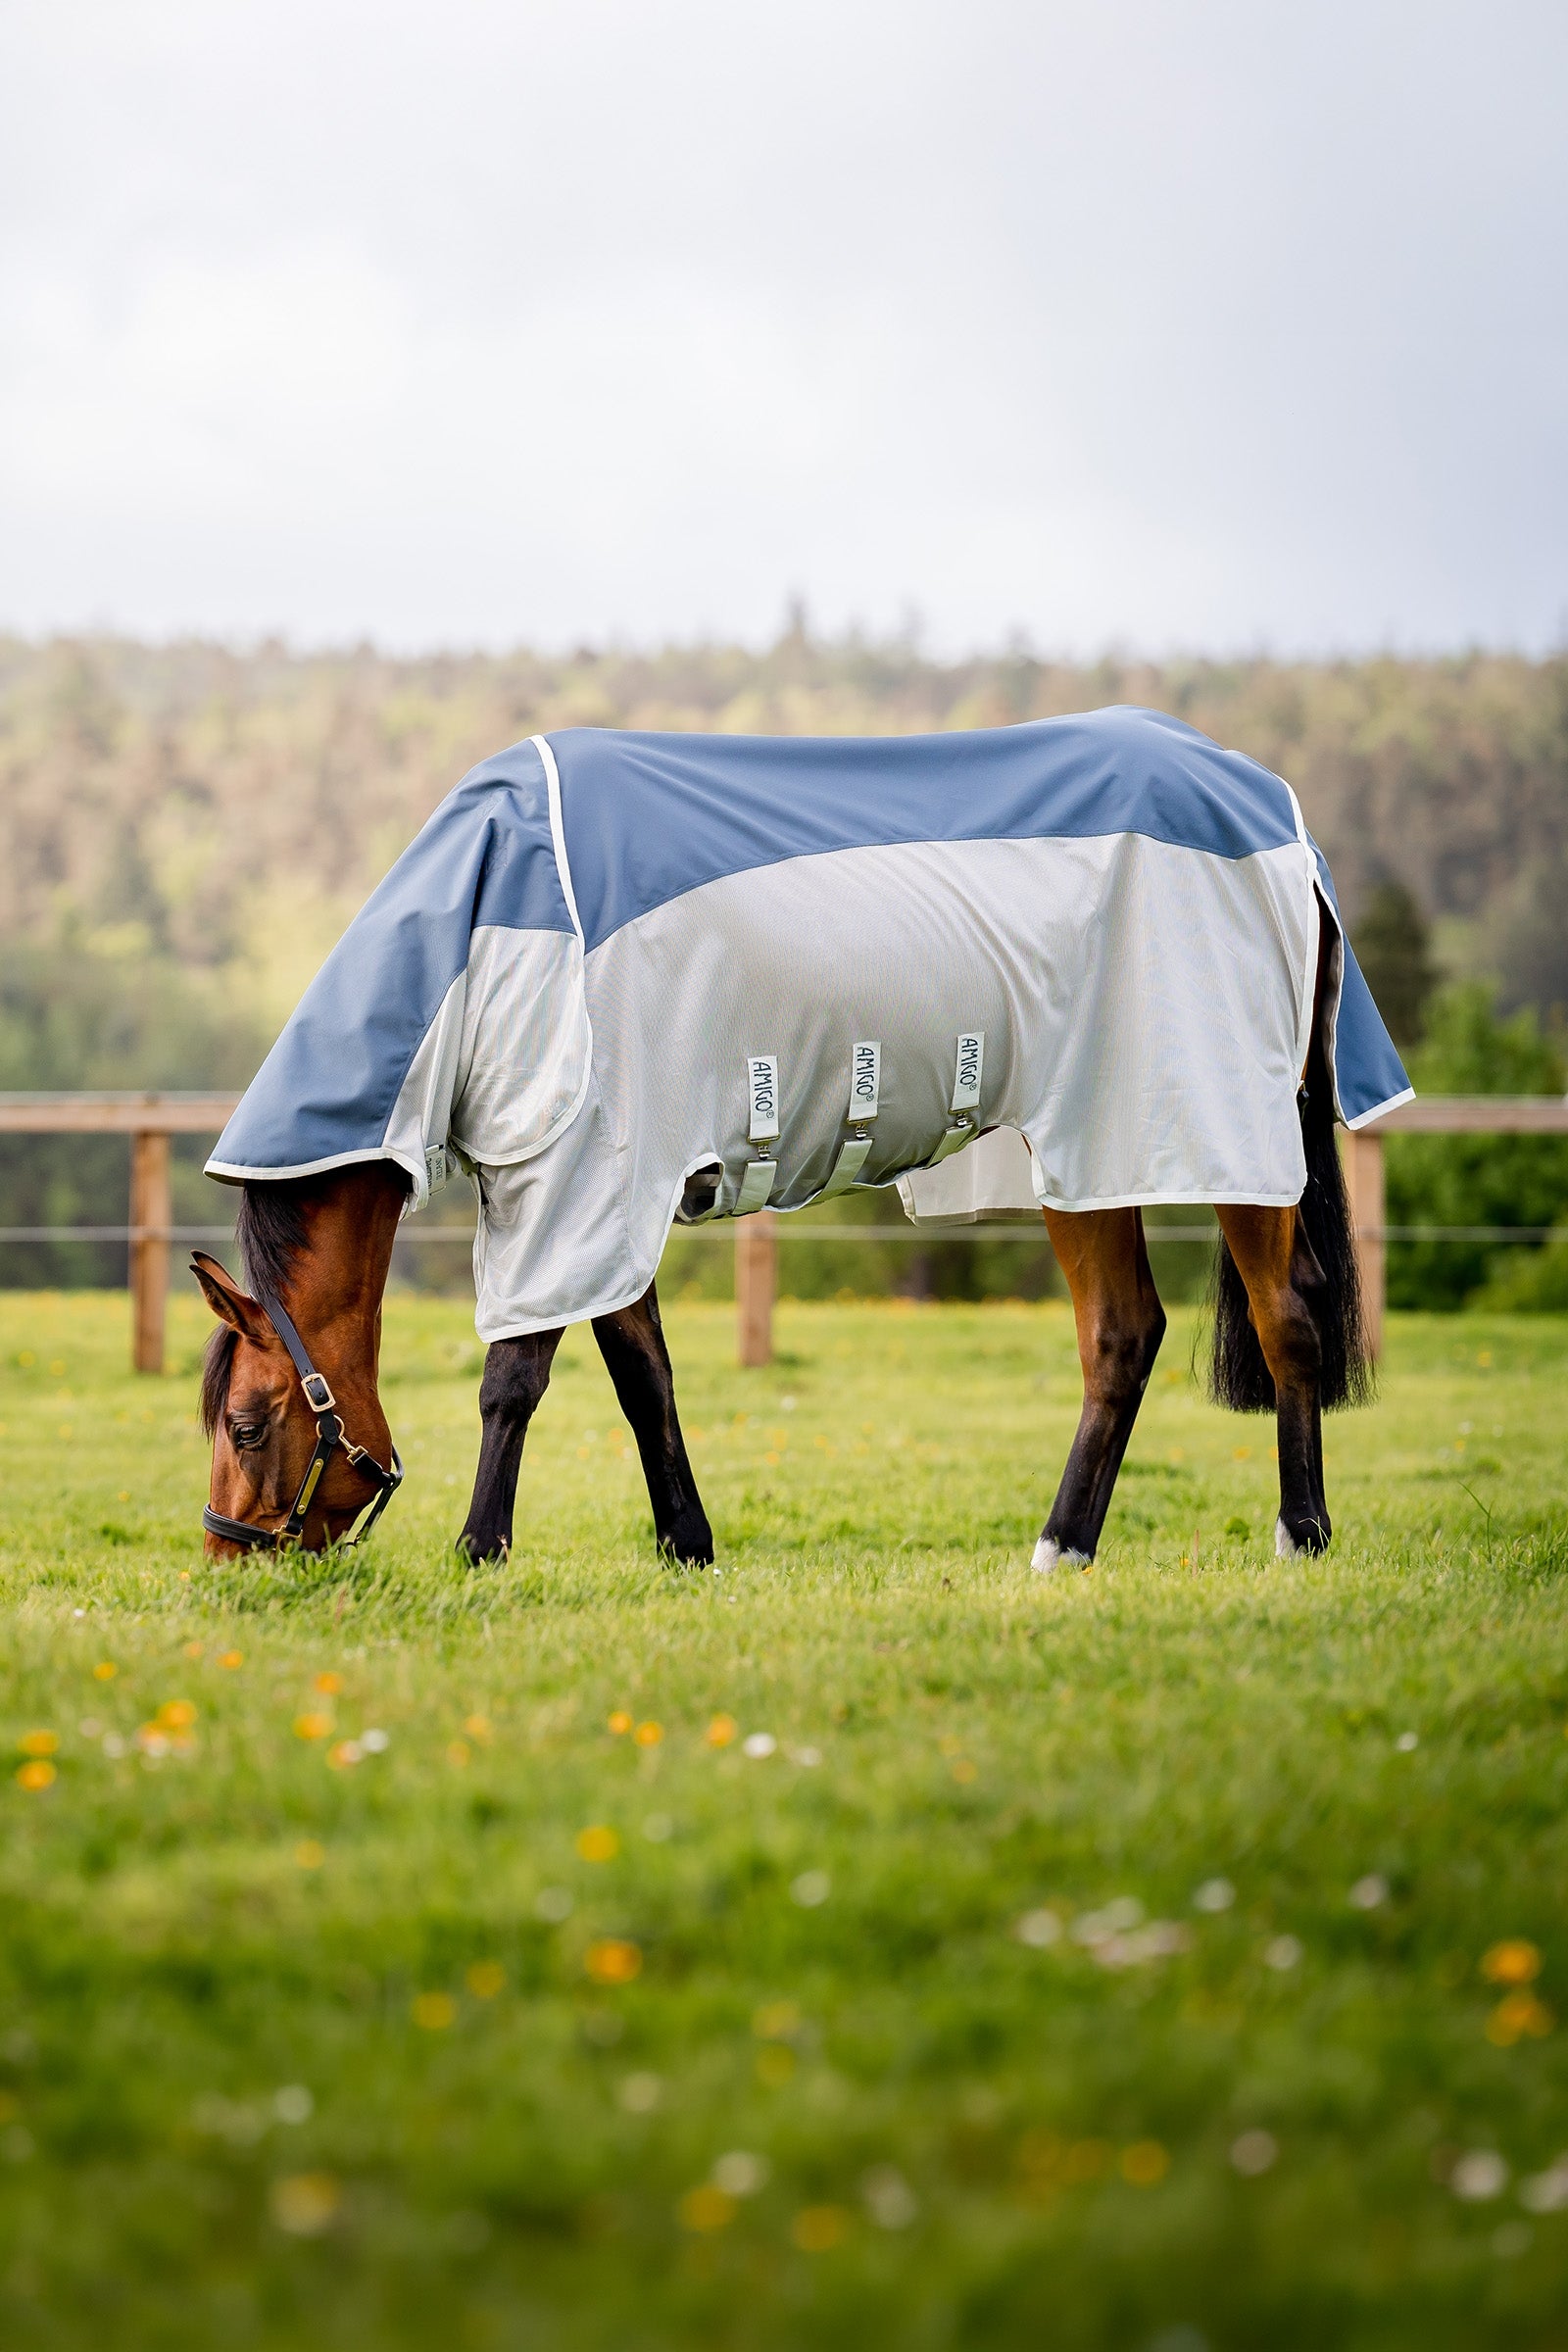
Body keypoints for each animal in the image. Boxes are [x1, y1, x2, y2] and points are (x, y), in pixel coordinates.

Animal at [193, 706, 1409, 1569]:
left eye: (248, 1426)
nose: (229, 1562)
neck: (488, 929)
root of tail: (1280, 827)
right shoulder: (615, 1197)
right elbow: (644, 1376)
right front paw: (687, 1547)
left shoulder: (577, 1182)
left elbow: (515, 1379)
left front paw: (478, 1550)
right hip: (1091, 1153)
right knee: (1126, 1334)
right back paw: (1065, 1549)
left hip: (1213, 1133)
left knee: (1282, 1319)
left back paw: (1296, 1534)